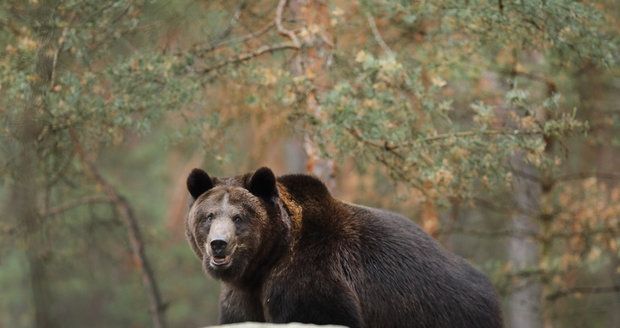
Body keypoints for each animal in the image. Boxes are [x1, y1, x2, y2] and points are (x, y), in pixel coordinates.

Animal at [185, 168, 504, 326]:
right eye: (208, 216)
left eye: (238, 217)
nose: (218, 245)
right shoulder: (242, 297)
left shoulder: (309, 276)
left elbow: (318, 313)